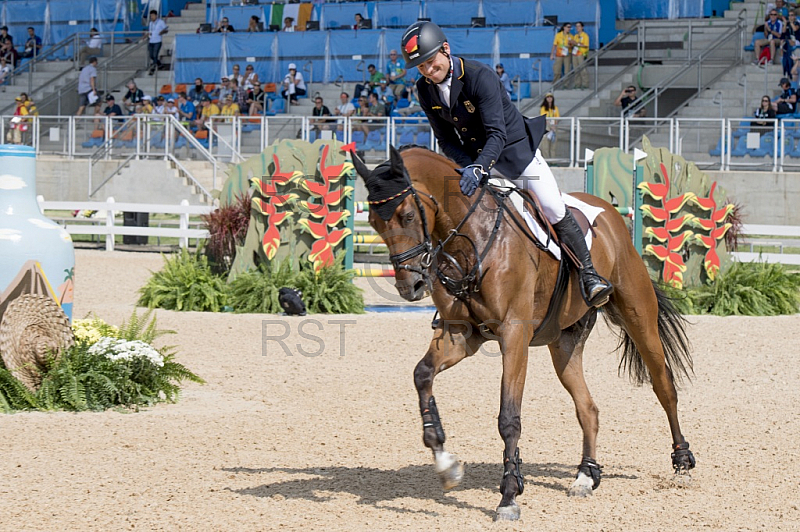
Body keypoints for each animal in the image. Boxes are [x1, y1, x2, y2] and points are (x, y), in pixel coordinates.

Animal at [350, 144, 692, 520]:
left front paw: (509, 495)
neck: (470, 239)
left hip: (638, 316)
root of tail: (610, 214)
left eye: (409, 216)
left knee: (664, 386)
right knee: (587, 407)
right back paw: (586, 476)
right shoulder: (460, 335)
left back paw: (681, 463)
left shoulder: (514, 336)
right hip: (565, 343)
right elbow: (422, 375)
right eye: (374, 222)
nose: (409, 287)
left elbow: (508, 418)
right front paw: (446, 464)